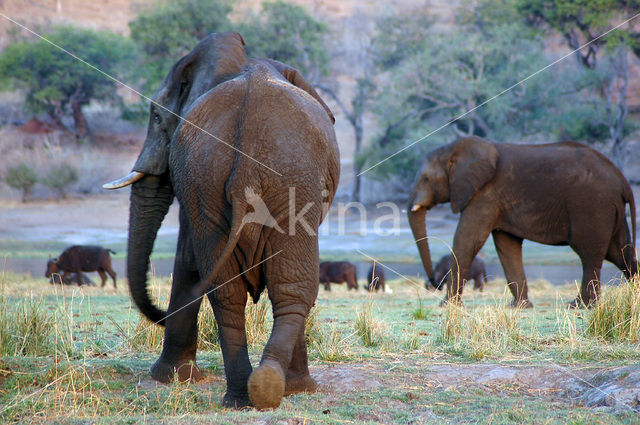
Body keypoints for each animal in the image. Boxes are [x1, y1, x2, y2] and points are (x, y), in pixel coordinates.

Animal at [102, 31, 340, 410]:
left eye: (156, 116)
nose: (158, 315)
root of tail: (246, 163)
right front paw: (173, 377)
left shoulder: (194, 187)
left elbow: (188, 256)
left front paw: (170, 377)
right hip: (263, 181)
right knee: (285, 289)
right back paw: (275, 389)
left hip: (235, 179)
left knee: (239, 291)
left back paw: (256, 392)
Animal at [408, 137, 636, 306]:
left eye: (426, 179)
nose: (433, 282)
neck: (456, 148)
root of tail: (623, 181)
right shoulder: (497, 201)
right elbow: (507, 245)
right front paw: (519, 307)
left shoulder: (485, 195)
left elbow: (467, 239)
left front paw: (447, 305)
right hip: (609, 209)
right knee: (620, 252)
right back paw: (633, 295)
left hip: (592, 206)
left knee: (590, 254)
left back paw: (579, 305)